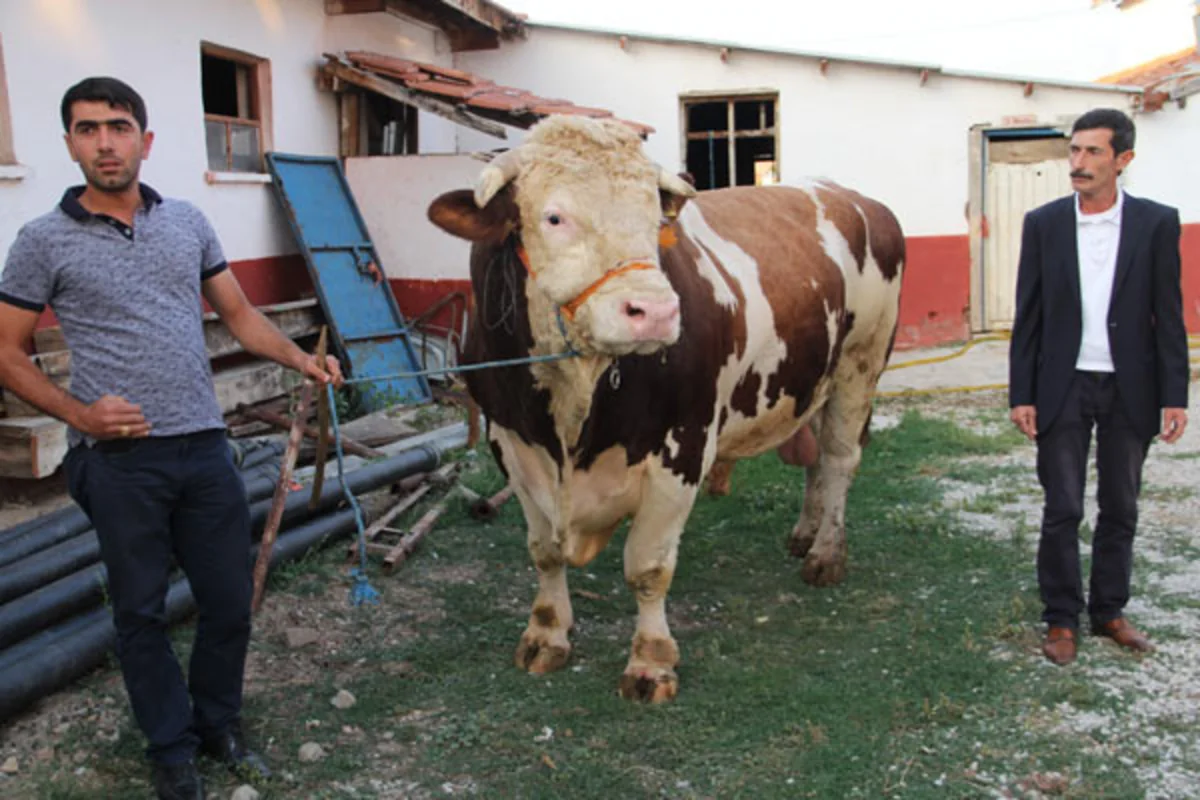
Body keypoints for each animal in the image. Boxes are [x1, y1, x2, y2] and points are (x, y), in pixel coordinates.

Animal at [427, 116, 904, 703]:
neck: (572, 407)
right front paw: (546, 634)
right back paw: (804, 535)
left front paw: (650, 662)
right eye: (554, 216)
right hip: (815, 377)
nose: (654, 311)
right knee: (815, 460)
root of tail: (848, 194)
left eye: (656, 222)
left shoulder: (682, 451)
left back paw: (826, 554)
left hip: (861, 365)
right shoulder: (513, 446)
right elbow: (544, 551)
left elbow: (648, 568)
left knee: (838, 460)